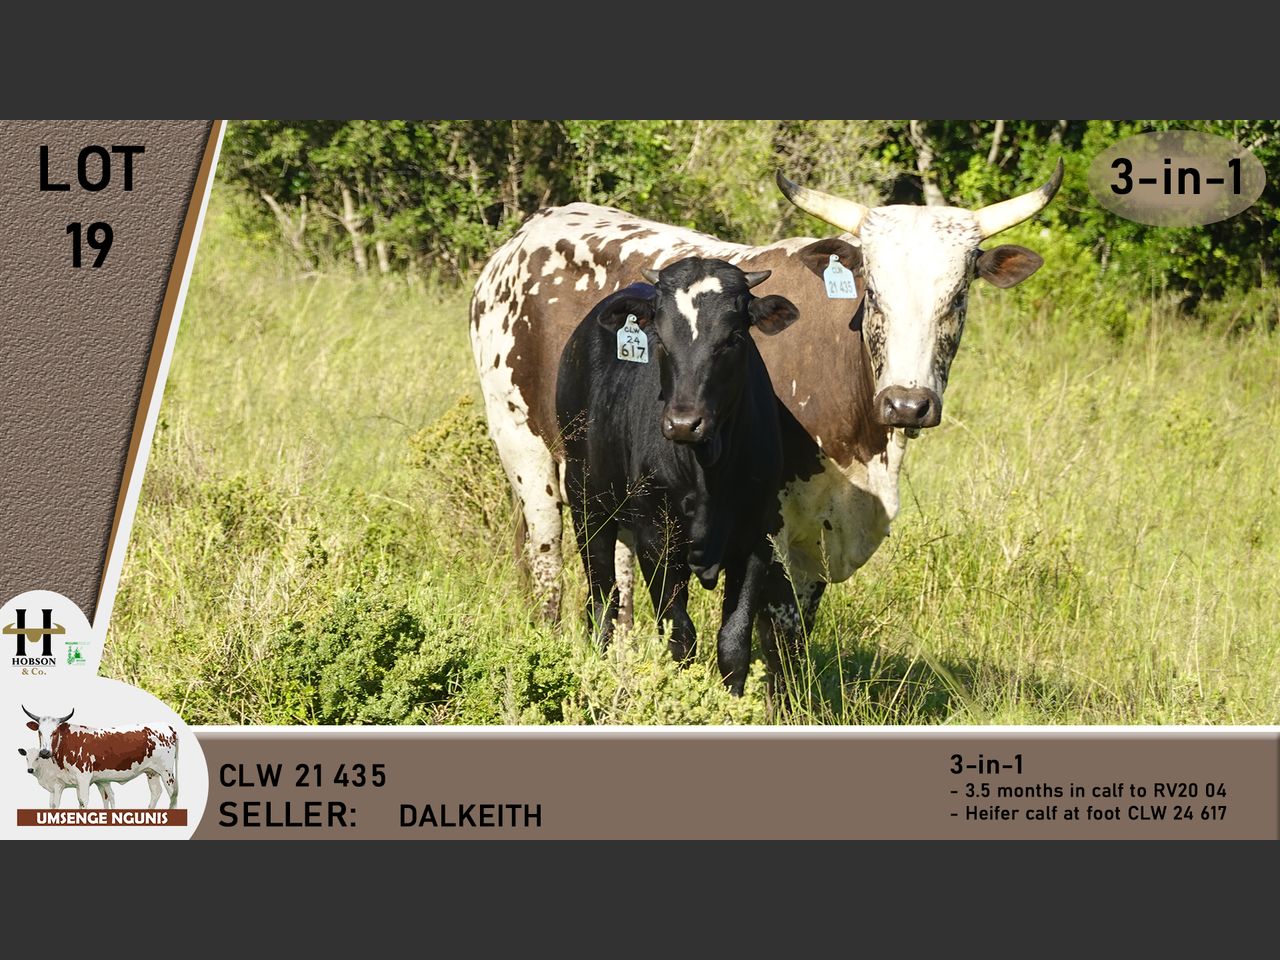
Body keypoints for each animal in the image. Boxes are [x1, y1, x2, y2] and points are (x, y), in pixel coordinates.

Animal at [22, 706, 180, 809]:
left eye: (54, 732)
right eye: (39, 732)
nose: (44, 752)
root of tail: (167, 726)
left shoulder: (83, 777)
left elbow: (83, 801)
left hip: (167, 772)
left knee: (173, 794)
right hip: (151, 772)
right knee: (156, 792)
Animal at [557, 258, 801, 693]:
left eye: (733, 336)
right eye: (661, 338)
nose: (685, 423)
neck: (708, 472)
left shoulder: (757, 539)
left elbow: (733, 640)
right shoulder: (657, 540)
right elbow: (680, 635)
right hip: (587, 503)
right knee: (602, 600)